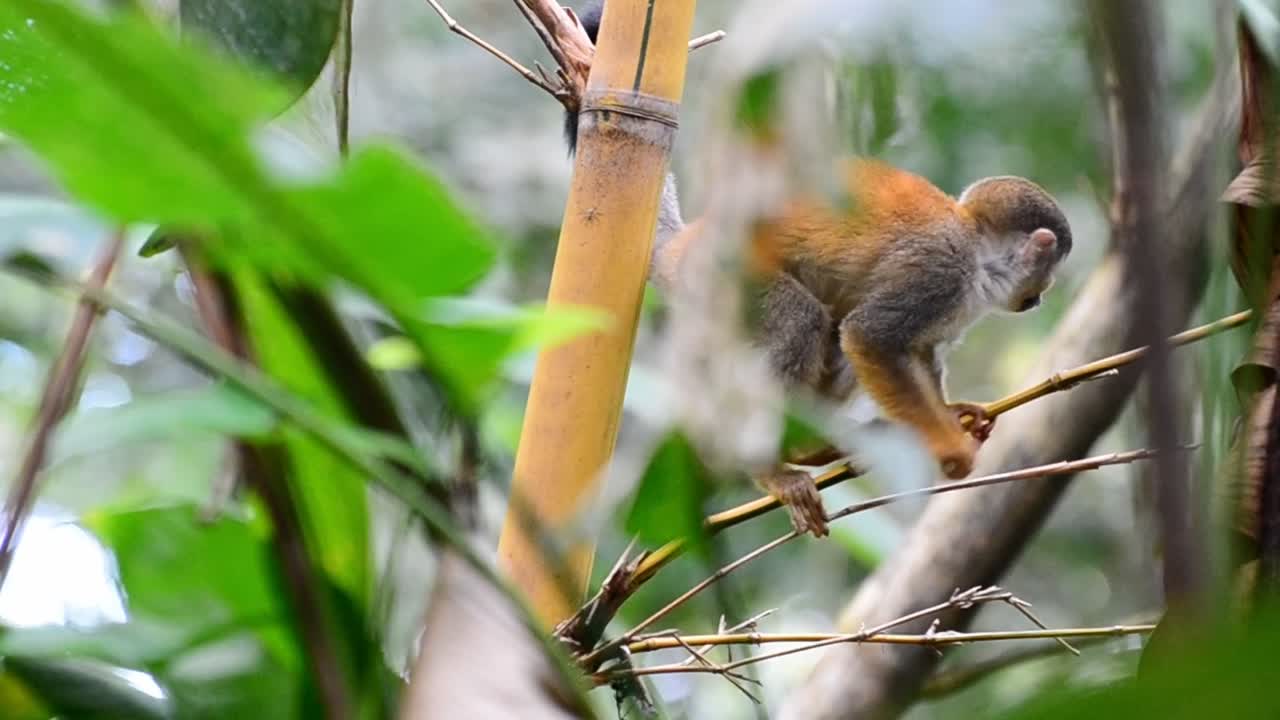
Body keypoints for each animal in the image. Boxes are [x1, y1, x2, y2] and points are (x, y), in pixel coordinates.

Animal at [564, 1, 1072, 537]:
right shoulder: (940, 274)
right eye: (1048, 272)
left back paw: (811, 444)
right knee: (802, 320)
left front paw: (952, 414)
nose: (1042, 294)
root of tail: (690, 243)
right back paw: (771, 465)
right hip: (724, 284)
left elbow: (918, 352)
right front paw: (949, 448)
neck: (979, 256)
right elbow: (873, 338)